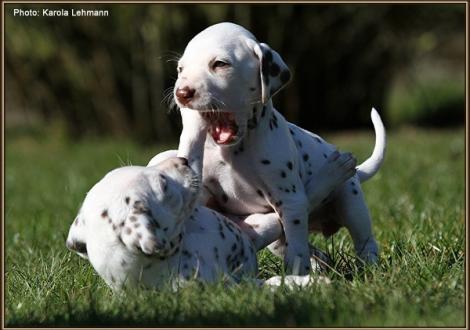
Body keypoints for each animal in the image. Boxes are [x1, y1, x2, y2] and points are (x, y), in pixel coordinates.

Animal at [170, 21, 386, 274]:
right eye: (180, 69)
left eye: (220, 64)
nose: (182, 93)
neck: (235, 152)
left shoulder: (290, 201)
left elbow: (296, 239)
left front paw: (298, 271)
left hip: (350, 201)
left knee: (364, 240)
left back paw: (368, 267)